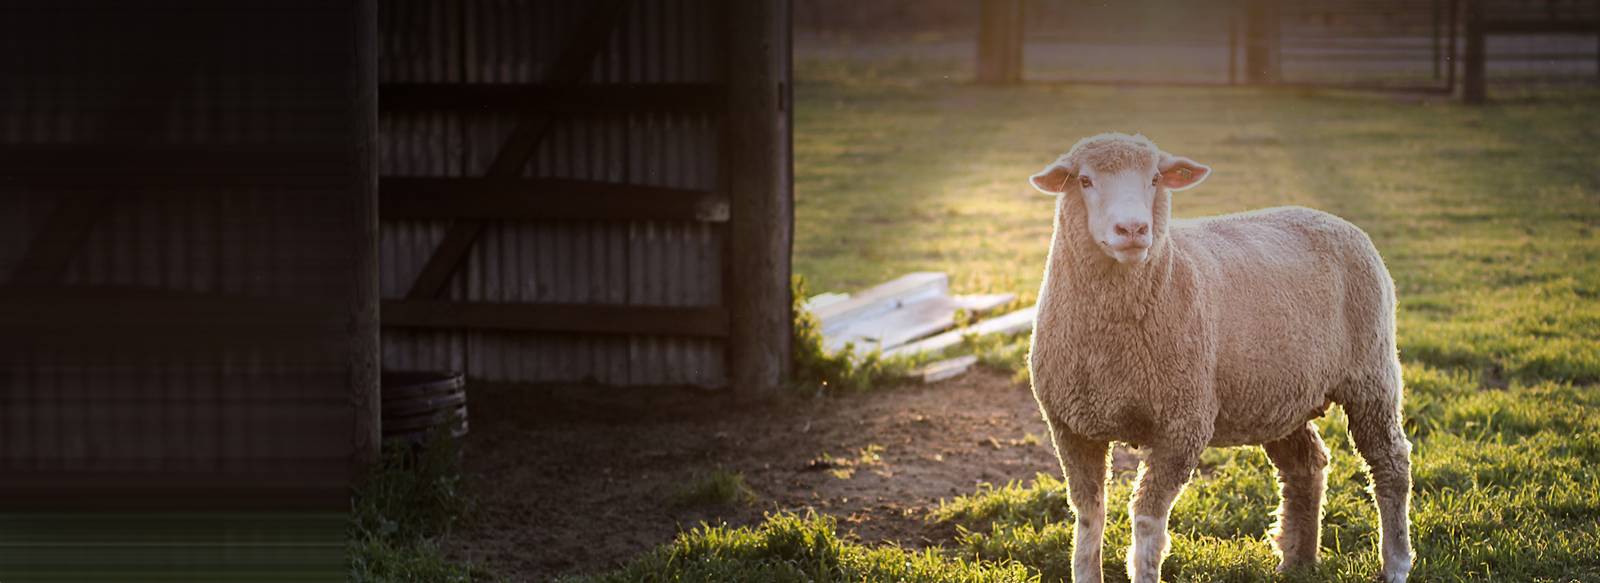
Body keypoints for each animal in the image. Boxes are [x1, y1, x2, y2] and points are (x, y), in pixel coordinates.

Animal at [1024, 132, 1414, 583]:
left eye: (1155, 178)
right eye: (1084, 181)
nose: (1133, 228)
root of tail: (1334, 220)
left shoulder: (1183, 423)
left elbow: (1147, 521)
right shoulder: (1071, 427)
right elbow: (1089, 516)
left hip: (1371, 373)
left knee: (1390, 462)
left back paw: (1396, 562)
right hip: (1279, 393)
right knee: (1307, 464)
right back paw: (1297, 561)